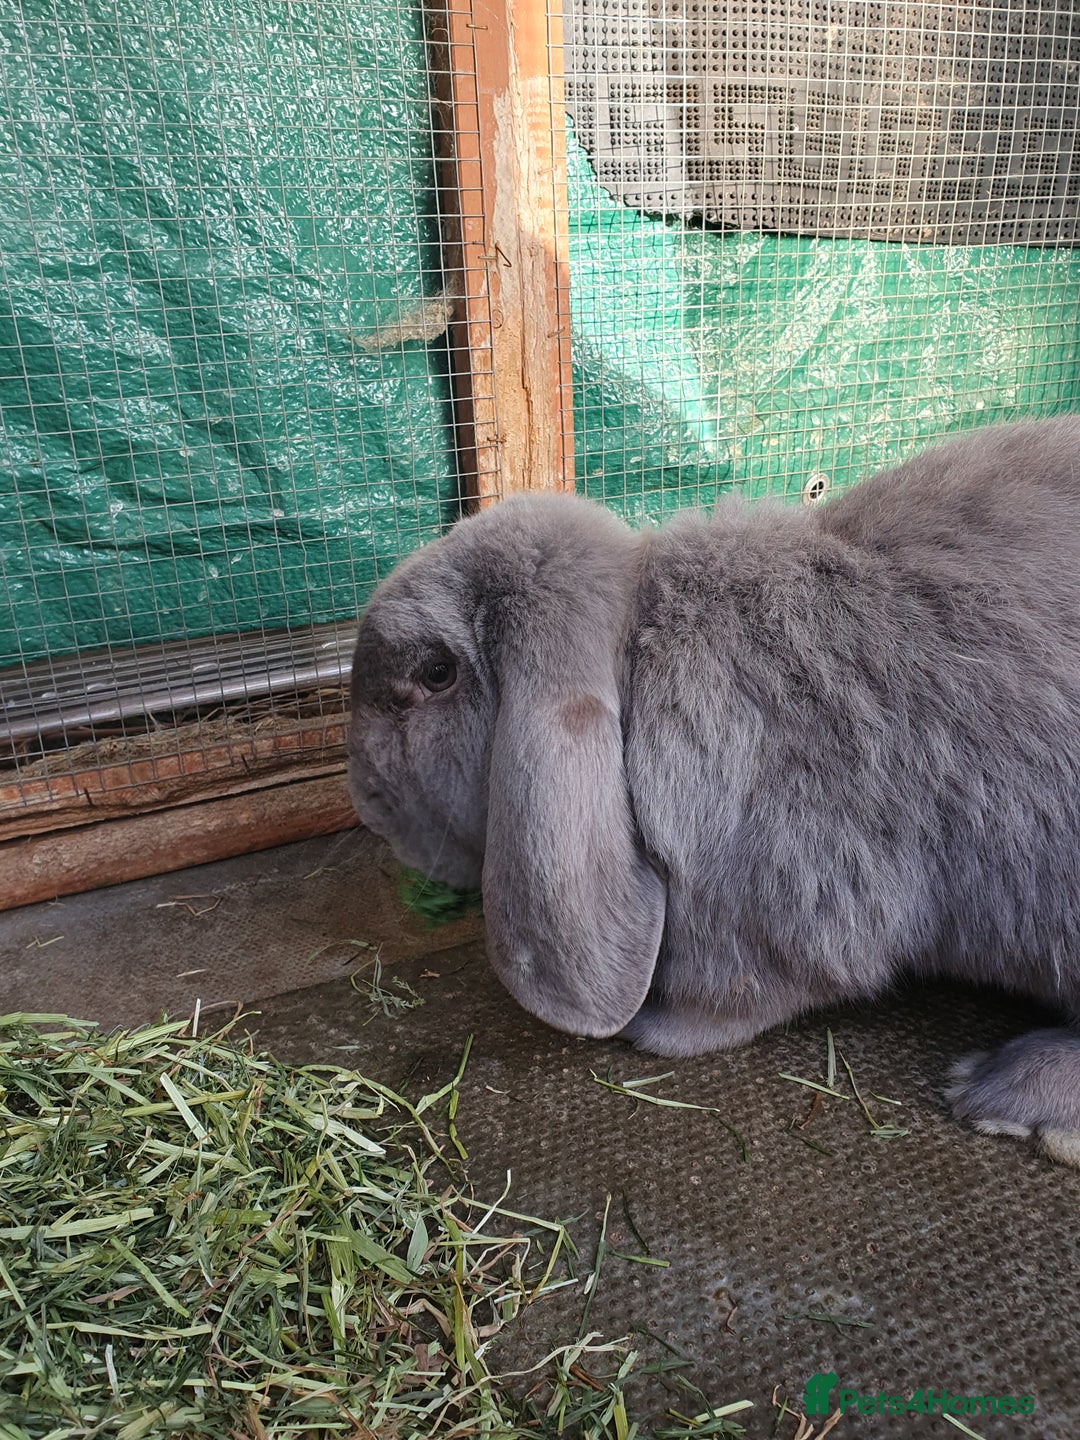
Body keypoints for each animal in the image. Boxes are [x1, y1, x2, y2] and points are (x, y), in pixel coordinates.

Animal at [347, 415, 1080, 1167]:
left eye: (436, 674)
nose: (365, 800)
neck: (635, 664)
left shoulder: (784, 905)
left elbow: (751, 993)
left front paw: (653, 1029)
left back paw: (1002, 1097)